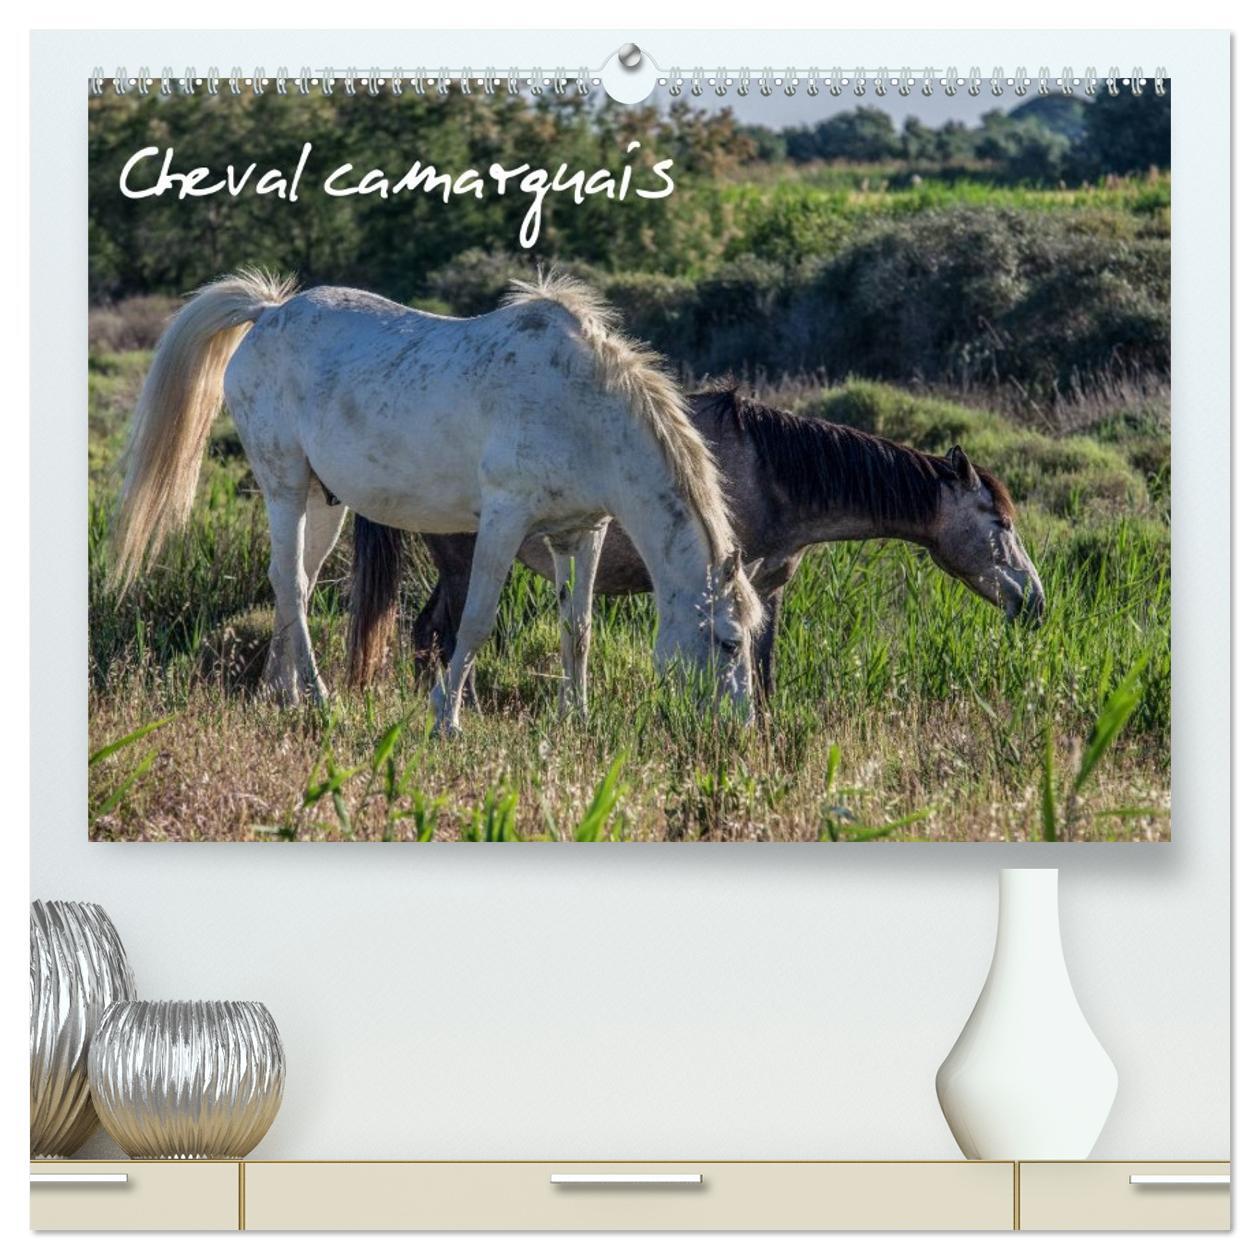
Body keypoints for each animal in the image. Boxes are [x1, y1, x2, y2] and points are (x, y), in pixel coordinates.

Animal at [113, 270, 763, 732]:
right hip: (283, 485)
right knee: (292, 584)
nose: (741, 729)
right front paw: (446, 719)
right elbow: (475, 622)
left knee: (291, 582)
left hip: (324, 503)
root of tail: (269, 312)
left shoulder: (582, 532)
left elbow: (577, 627)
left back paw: (283, 695)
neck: (582, 408)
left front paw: (574, 717)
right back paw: (319, 701)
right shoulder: (503, 519)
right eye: (729, 642)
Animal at [345, 387, 1045, 699]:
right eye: (1000, 524)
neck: (769, 470)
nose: (1036, 603)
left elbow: (764, 667)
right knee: (436, 636)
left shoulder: (767, 590)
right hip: (464, 562)